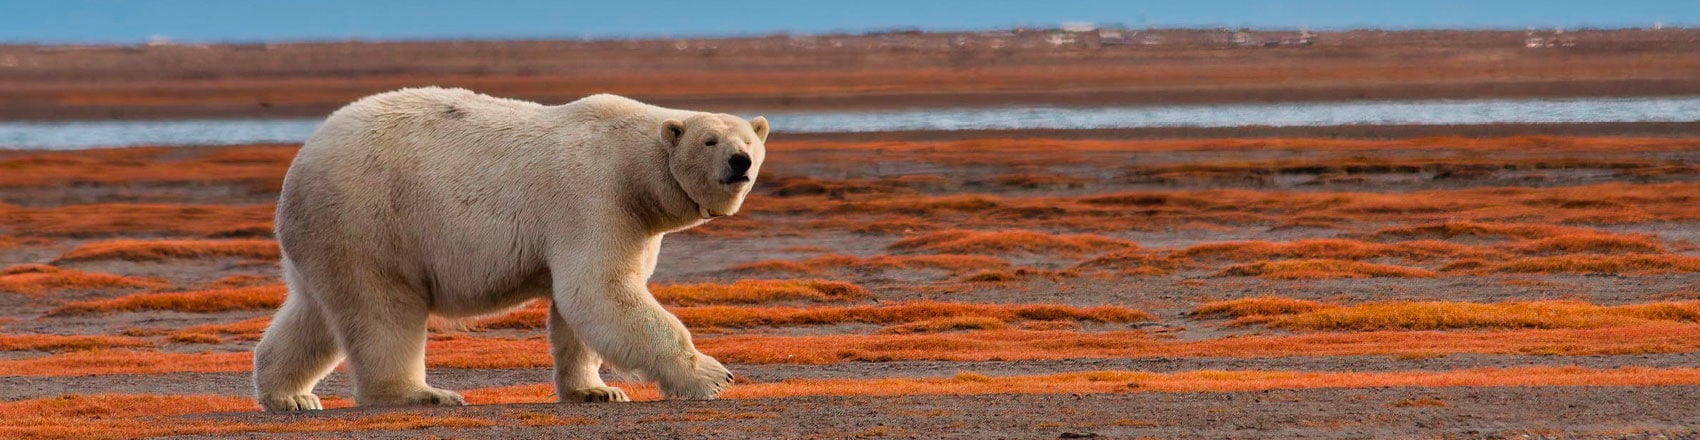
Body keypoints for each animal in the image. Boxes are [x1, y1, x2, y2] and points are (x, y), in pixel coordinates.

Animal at [253, 87, 771, 412]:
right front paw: (712, 376)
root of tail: (300, 163)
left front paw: (596, 391)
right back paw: (423, 394)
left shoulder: (632, 222)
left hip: (327, 237)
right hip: (370, 220)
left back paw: (290, 395)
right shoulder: (594, 198)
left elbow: (579, 308)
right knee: (383, 310)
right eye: (710, 140)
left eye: (749, 139)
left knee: (313, 314)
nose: (740, 161)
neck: (634, 169)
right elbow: (599, 291)